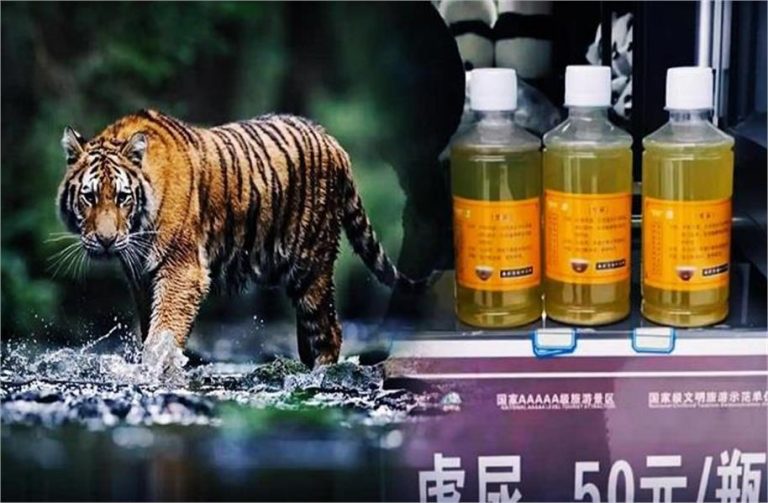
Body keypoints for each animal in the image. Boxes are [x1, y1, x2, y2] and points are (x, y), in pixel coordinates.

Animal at [57, 109, 424, 374]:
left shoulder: (182, 269)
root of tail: (332, 141)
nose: (106, 241)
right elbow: (150, 324)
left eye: (122, 197)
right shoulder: (141, 278)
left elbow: (162, 332)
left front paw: (152, 370)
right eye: (89, 197)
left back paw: (321, 376)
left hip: (311, 265)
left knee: (329, 330)